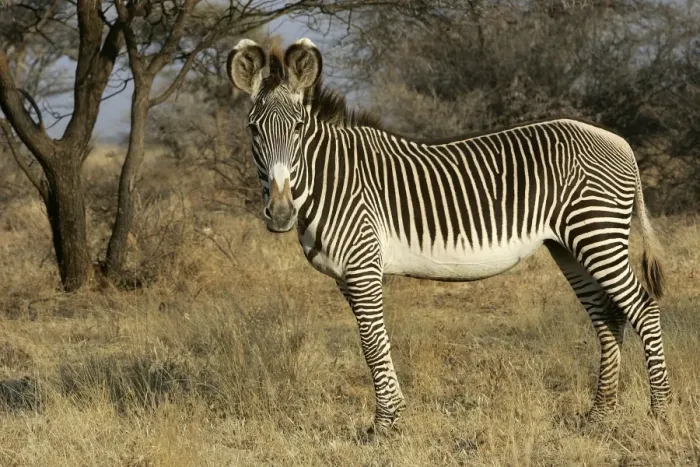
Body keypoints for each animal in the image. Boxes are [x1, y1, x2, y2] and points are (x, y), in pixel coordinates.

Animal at [227, 38, 670, 433]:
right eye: (253, 130)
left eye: (298, 128)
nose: (280, 214)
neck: (329, 179)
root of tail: (619, 141)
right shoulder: (345, 276)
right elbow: (372, 342)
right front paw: (390, 417)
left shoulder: (363, 266)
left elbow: (372, 342)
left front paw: (385, 424)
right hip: (570, 245)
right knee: (609, 318)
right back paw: (599, 415)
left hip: (597, 233)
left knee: (644, 309)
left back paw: (659, 412)